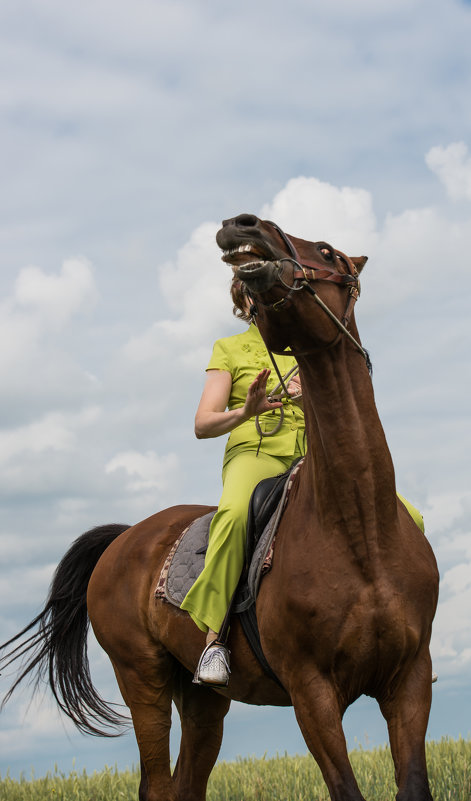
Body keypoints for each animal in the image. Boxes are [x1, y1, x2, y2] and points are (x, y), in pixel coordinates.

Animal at [1, 212, 440, 800]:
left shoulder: (409, 681)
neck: (360, 532)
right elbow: (344, 787)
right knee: (159, 782)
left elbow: (412, 784)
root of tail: (125, 537)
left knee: (188, 782)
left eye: (327, 250)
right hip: (143, 680)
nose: (242, 226)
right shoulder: (312, 693)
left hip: (203, 698)